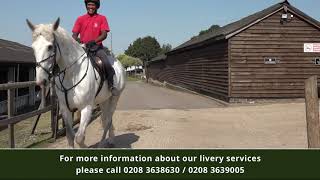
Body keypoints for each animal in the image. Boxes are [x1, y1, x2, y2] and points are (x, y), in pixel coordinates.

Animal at [26, 17, 126, 148]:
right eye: (33, 47)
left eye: (50, 47)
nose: (41, 80)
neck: (71, 74)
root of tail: (119, 65)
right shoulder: (65, 109)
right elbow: (70, 136)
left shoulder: (86, 108)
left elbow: (79, 138)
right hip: (104, 100)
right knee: (106, 119)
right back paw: (111, 139)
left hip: (115, 97)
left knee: (108, 119)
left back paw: (103, 143)